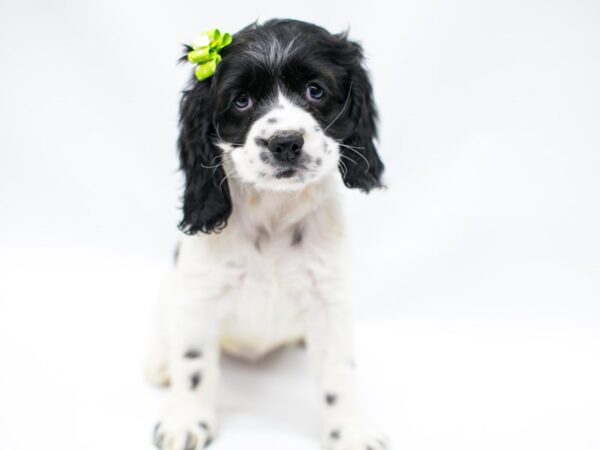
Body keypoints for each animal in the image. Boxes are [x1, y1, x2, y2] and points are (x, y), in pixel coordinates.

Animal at [148, 19, 386, 450]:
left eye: (315, 90)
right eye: (241, 101)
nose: (286, 142)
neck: (275, 211)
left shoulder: (330, 300)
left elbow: (339, 372)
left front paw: (351, 430)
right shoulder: (197, 297)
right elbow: (193, 364)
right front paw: (186, 421)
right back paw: (159, 363)